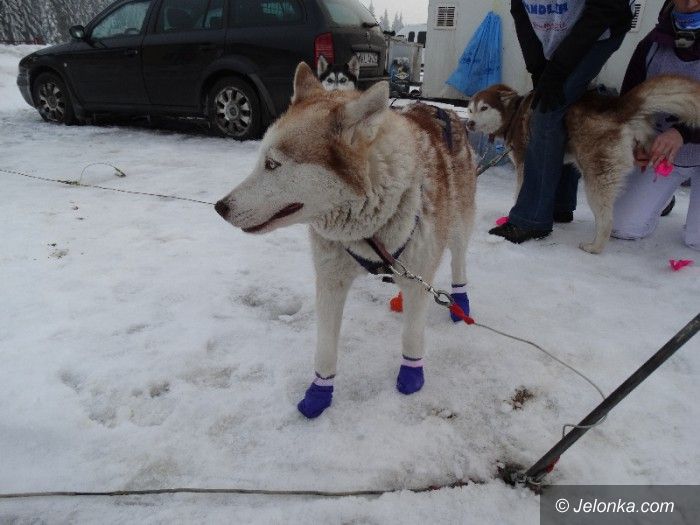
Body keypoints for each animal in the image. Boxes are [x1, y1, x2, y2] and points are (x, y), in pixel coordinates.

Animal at [215, 62, 477, 418]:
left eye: (272, 164)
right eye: (260, 161)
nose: (220, 207)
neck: (369, 227)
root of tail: (444, 111)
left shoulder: (418, 275)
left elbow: (411, 335)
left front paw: (411, 376)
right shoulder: (330, 281)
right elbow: (325, 349)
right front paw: (319, 393)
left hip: (459, 226)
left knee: (459, 260)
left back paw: (460, 302)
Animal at [465, 75, 700, 253]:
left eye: (484, 108)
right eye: (470, 109)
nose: (469, 123)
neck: (513, 114)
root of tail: (615, 107)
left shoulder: (525, 164)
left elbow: (520, 192)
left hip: (595, 179)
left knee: (606, 220)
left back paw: (594, 247)